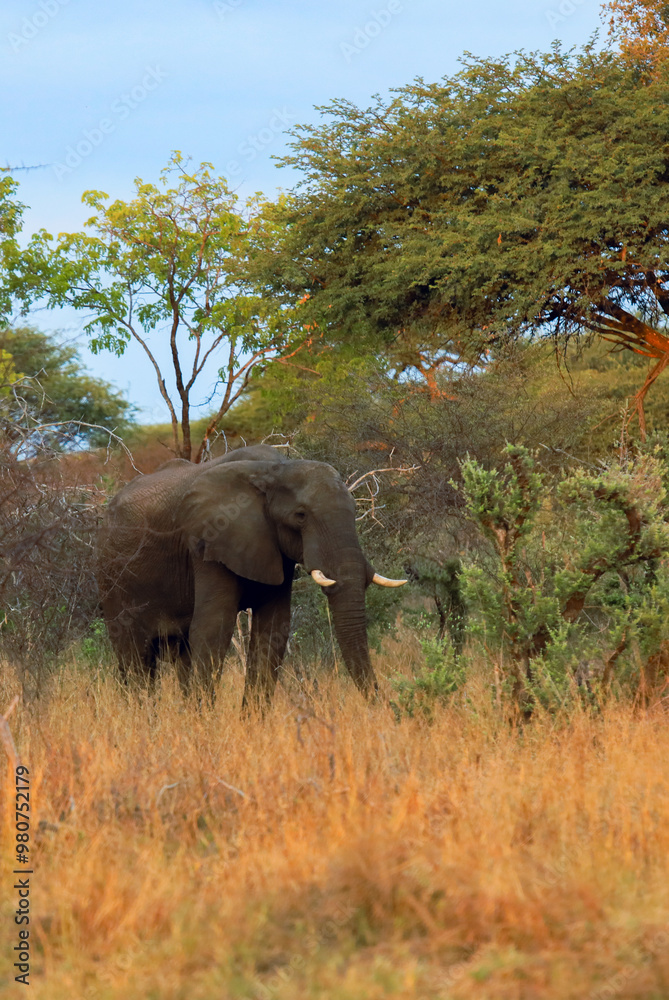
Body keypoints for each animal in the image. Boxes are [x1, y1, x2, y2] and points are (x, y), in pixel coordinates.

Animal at [96, 445, 405, 708]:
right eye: (301, 515)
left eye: (355, 510)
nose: (382, 708)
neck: (275, 469)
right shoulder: (209, 541)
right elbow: (213, 628)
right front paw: (205, 729)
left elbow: (273, 629)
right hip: (112, 577)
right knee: (135, 659)